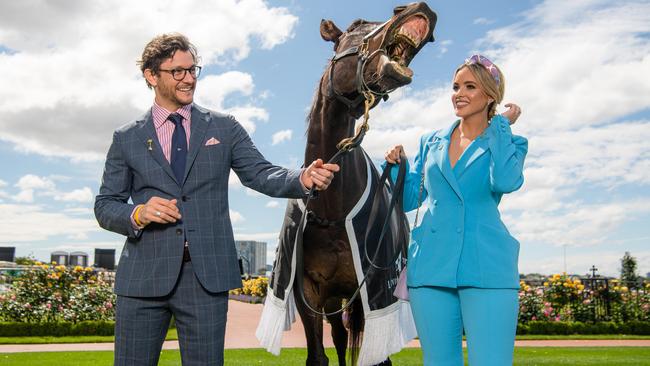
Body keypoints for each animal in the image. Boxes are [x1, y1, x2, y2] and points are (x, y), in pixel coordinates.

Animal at [294, 3, 436, 366]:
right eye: (357, 24)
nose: (413, 7)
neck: (331, 209)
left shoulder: (373, 289)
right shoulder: (309, 293)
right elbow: (320, 354)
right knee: (340, 336)